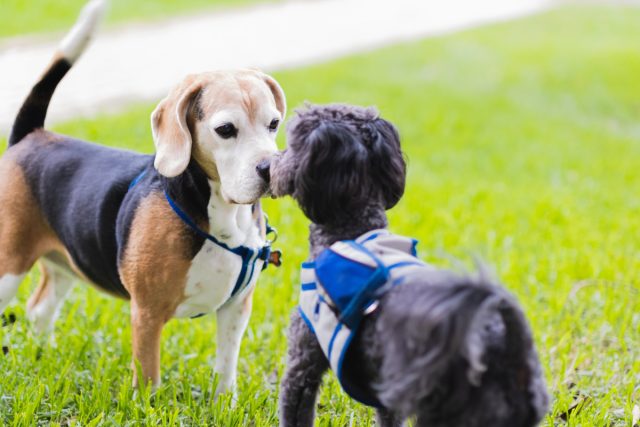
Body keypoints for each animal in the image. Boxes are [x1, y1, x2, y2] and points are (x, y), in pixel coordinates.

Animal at [272, 104, 552, 427]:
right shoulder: (385, 386)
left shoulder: (304, 360)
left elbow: (295, 408)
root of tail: (502, 341)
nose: (266, 166)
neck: (352, 230)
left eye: (291, 144)